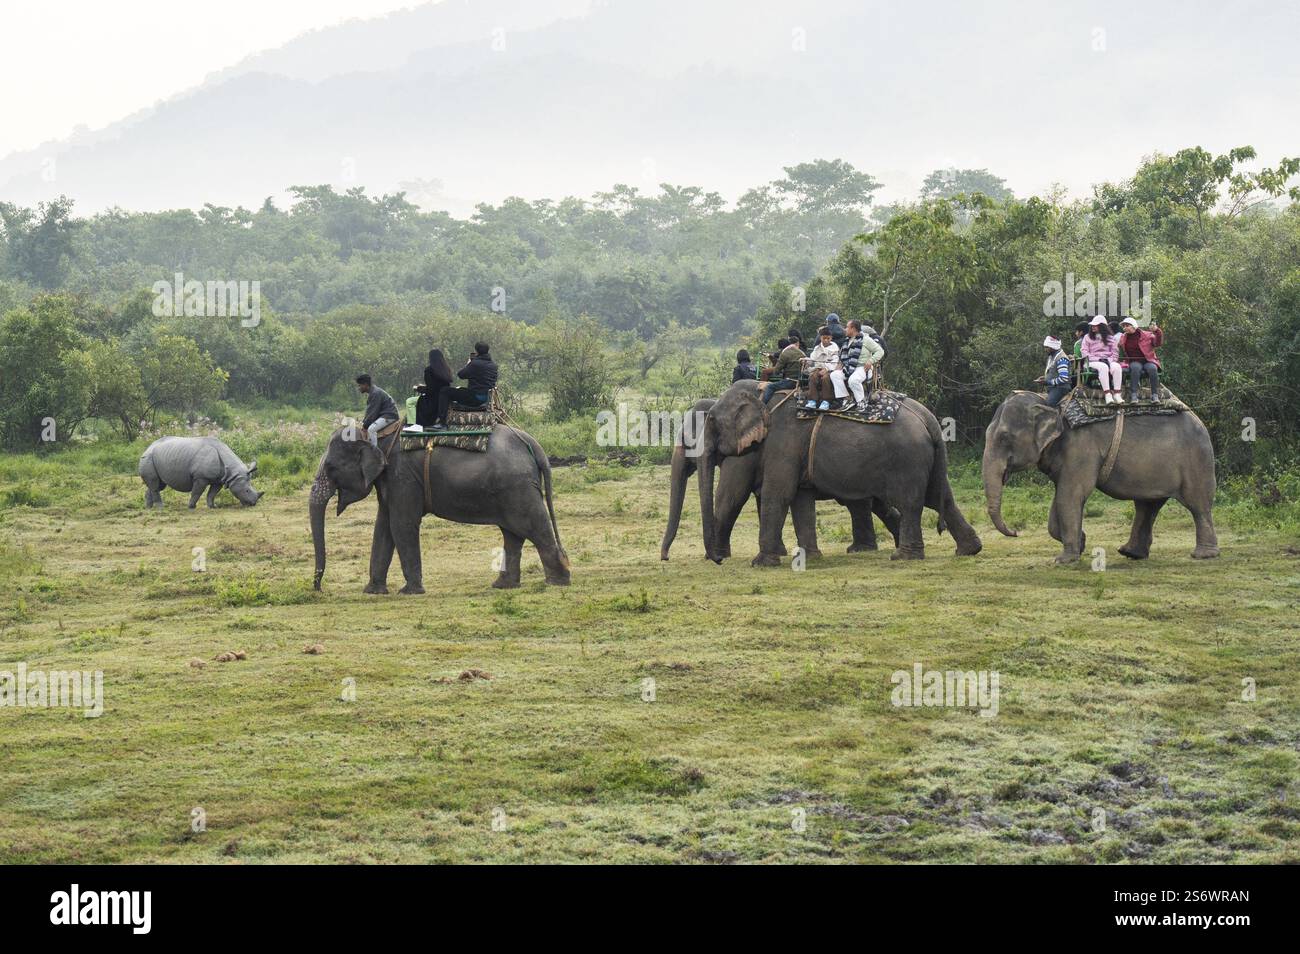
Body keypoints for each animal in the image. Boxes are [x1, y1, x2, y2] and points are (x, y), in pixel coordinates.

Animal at [309, 422, 569, 593]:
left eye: (331, 468)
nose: (318, 589)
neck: (377, 436)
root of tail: (533, 444)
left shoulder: (402, 476)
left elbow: (401, 524)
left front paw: (410, 591)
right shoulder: (391, 481)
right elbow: (383, 526)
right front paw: (373, 591)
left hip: (518, 488)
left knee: (534, 528)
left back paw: (558, 582)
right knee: (513, 534)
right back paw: (503, 586)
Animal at [660, 390, 900, 561]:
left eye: (687, 440)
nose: (665, 558)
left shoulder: (745, 456)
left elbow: (730, 497)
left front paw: (718, 556)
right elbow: (761, 496)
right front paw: (780, 551)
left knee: (860, 503)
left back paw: (863, 550)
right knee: (869, 502)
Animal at [699, 382, 982, 564]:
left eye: (711, 420)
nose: (717, 560)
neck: (762, 391)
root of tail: (929, 418)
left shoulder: (782, 442)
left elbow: (767, 493)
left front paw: (761, 563)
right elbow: (800, 497)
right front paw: (810, 557)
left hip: (907, 459)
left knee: (911, 502)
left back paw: (903, 557)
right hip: (926, 459)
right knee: (939, 497)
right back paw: (969, 550)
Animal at [982, 391, 1219, 562]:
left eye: (1004, 437)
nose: (1015, 533)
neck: (1052, 406)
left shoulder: (1081, 447)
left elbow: (1071, 495)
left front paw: (1064, 560)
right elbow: (1060, 498)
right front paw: (1081, 542)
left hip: (1196, 460)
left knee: (1198, 504)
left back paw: (1203, 555)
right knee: (1147, 506)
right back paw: (1131, 553)